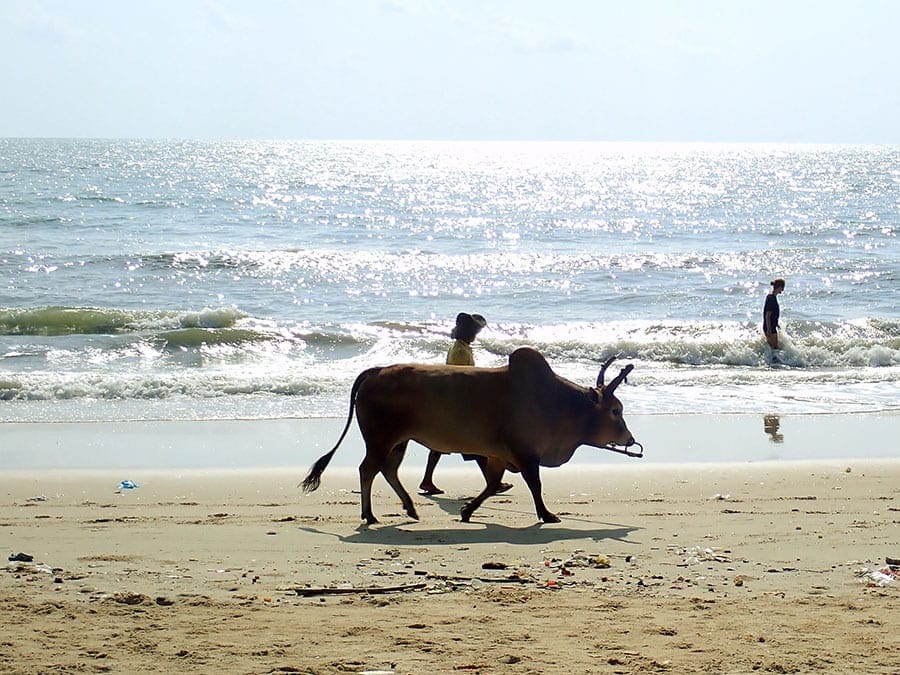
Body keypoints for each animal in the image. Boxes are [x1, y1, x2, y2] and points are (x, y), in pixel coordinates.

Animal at [302, 348, 640, 528]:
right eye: (615, 410)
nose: (630, 438)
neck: (558, 403)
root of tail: (376, 371)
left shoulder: (500, 455)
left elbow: (491, 485)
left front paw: (467, 511)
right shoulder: (525, 454)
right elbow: (535, 485)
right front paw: (547, 514)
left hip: (399, 442)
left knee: (388, 470)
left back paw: (409, 508)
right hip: (381, 439)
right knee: (367, 469)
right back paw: (370, 515)